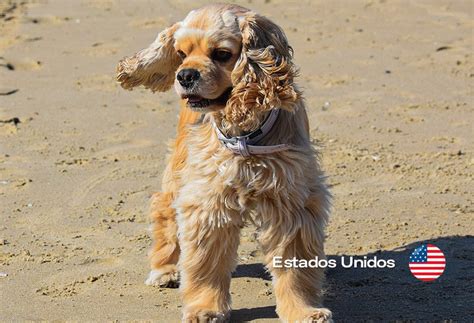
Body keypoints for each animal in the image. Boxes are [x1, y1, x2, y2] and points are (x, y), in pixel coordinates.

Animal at [116, 3, 332, 322]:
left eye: (221, 53)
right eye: (181, 52)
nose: (185, 75)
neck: (243, 129)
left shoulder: (291, 200)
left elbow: (295, 268)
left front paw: (303, 310)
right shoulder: (209, 199)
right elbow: (206, 262)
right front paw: (205, 308)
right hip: (179, 167)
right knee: (163, 207)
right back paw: (164, 269)